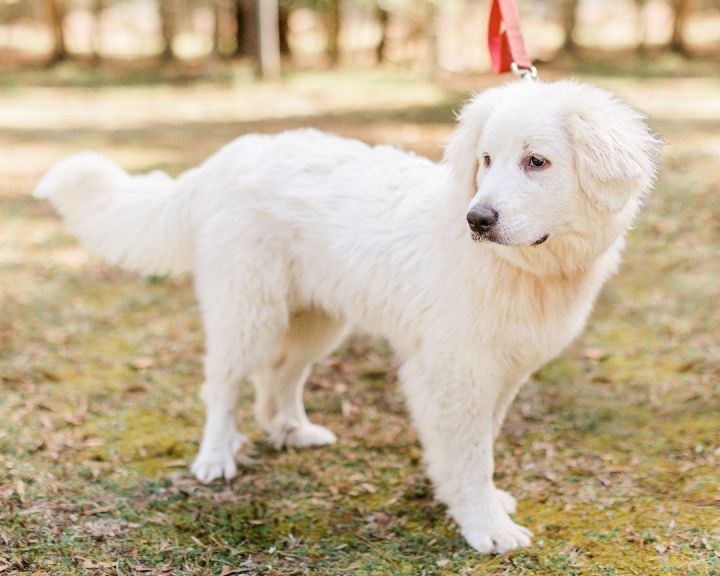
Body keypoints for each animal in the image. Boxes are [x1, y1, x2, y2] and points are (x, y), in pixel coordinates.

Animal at [33, 80, 664, 552]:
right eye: (487, 160)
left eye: (537, 162)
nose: (477, 219)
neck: (526, 269)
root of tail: (227, 158)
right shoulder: (452, 371)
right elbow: (468, 453)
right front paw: (484, 524)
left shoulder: (503, 370)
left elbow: (481, 442)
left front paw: (483, 504)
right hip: (248, 310)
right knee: (223, 386)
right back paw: (214, 459)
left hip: (317, 320)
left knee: (278, 380)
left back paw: (292, 430)